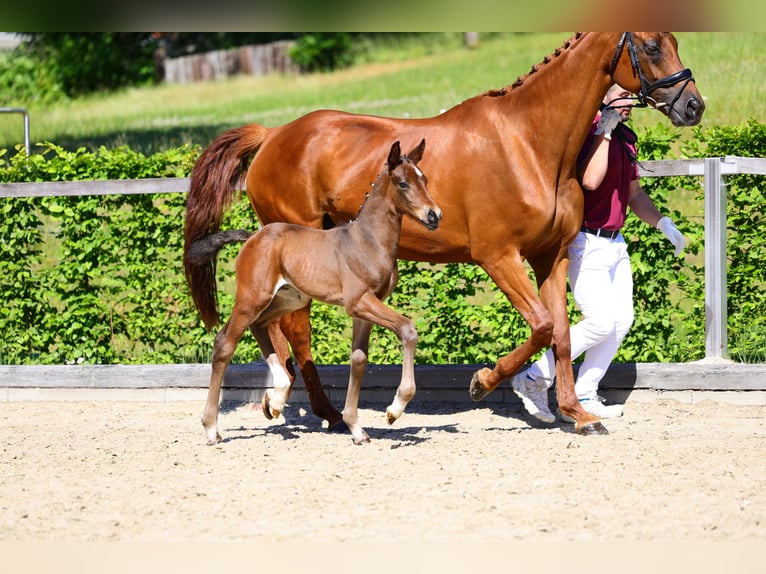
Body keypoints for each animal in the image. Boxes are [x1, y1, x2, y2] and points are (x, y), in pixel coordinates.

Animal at [188, 139, 442, 445]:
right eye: (403, 183)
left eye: (425, 180)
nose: (434, 215)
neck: (368, 242)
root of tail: (252, 237)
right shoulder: (359, 302)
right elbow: (407, 329)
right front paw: (394, 409)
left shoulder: (365, 308)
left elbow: (358, 360)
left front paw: (356, 429)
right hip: (253, 297)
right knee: (225, 342)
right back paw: (212, 428)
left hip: (289, 298)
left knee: (260, 325)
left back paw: (277, 398)